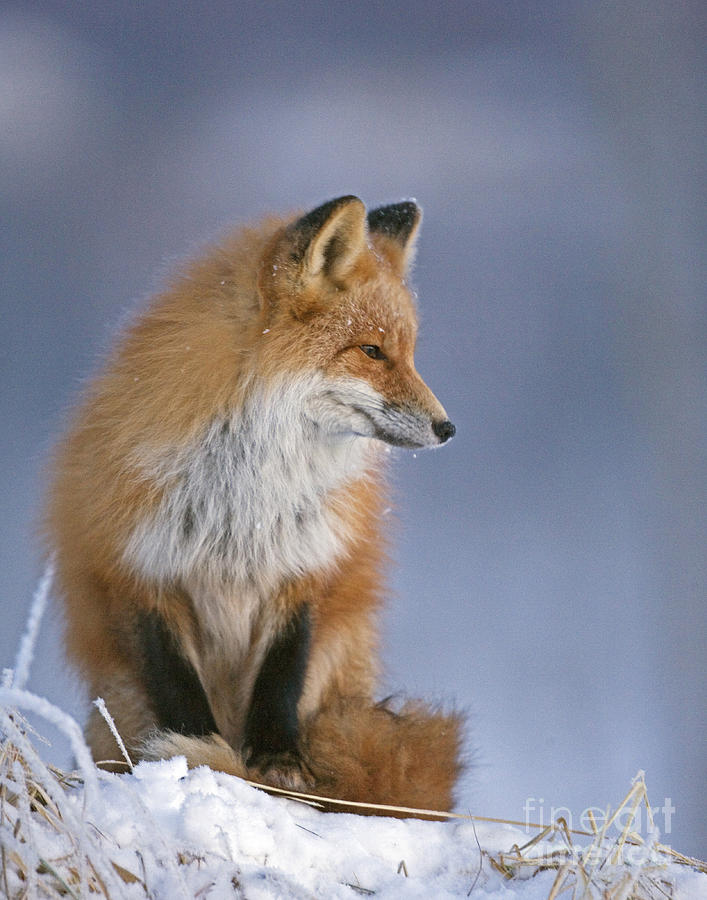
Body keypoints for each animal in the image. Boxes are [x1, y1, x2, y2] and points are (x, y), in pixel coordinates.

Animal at [45, 195, 463, 815]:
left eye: (408, 353)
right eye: (371, 351)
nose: (447, 428)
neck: (244, 500)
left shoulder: (300, 570)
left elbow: (280, 679)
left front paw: (278, 768)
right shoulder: (143, 572)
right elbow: (178, 690)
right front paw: (192, 764)